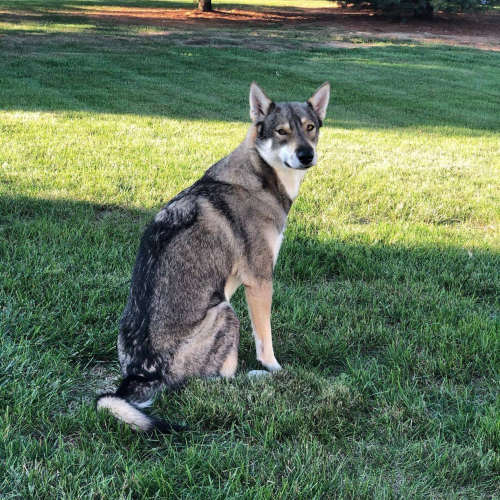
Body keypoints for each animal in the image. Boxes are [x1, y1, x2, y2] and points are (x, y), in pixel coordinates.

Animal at [96, 83, 332, 434]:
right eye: (281, 132)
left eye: (310, 128)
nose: (307, 155)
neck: (261, 176)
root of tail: (140, 374)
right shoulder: (260, 280)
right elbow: (265, 341)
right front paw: (275, 370)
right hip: (227, 312)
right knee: (218, 383)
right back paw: (256, 377)